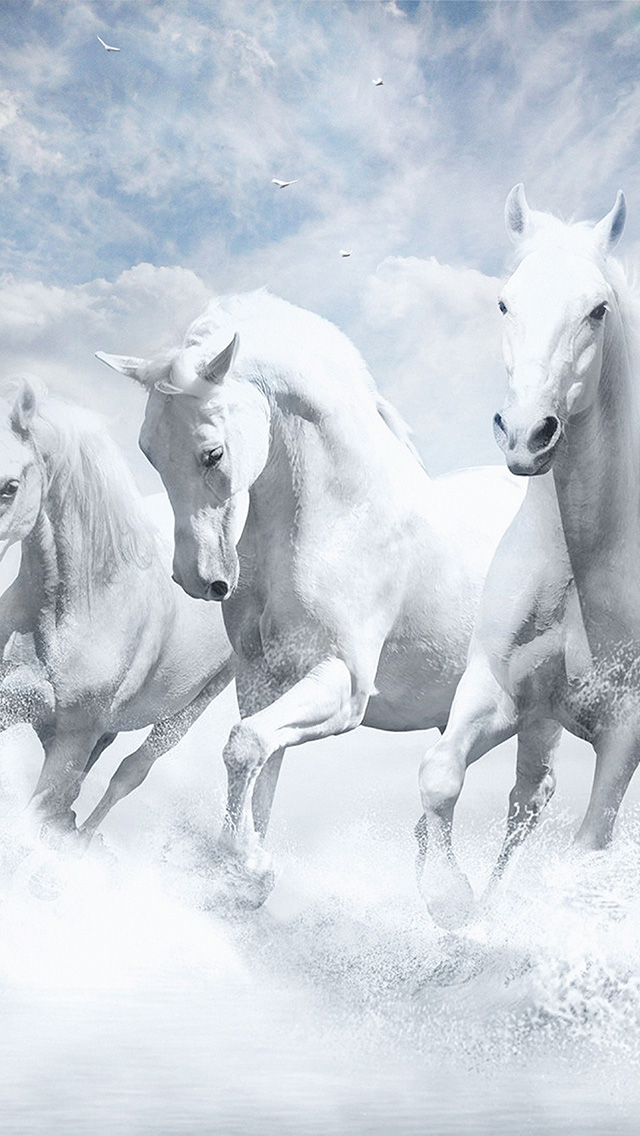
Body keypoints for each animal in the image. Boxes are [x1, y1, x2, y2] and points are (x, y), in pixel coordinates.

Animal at [96, 289, 539, 907]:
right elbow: (260, 761)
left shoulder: (343, 684)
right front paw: (248, 872)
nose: (197, 579)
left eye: (212, 454)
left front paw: (243, 864)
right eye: (148, 452)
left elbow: (244, 747)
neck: (340, 517)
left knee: (533, 799)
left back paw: (482, 907)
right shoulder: (264, 680)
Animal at [415, 185, 640, 927]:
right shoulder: (501, 689)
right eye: (505, 303)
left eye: (597, 310)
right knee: (525, 800)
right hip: (541, 724)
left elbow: (589, 846)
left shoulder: (625, 729)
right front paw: (449, 900)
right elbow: (440, 774)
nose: (525, 435)